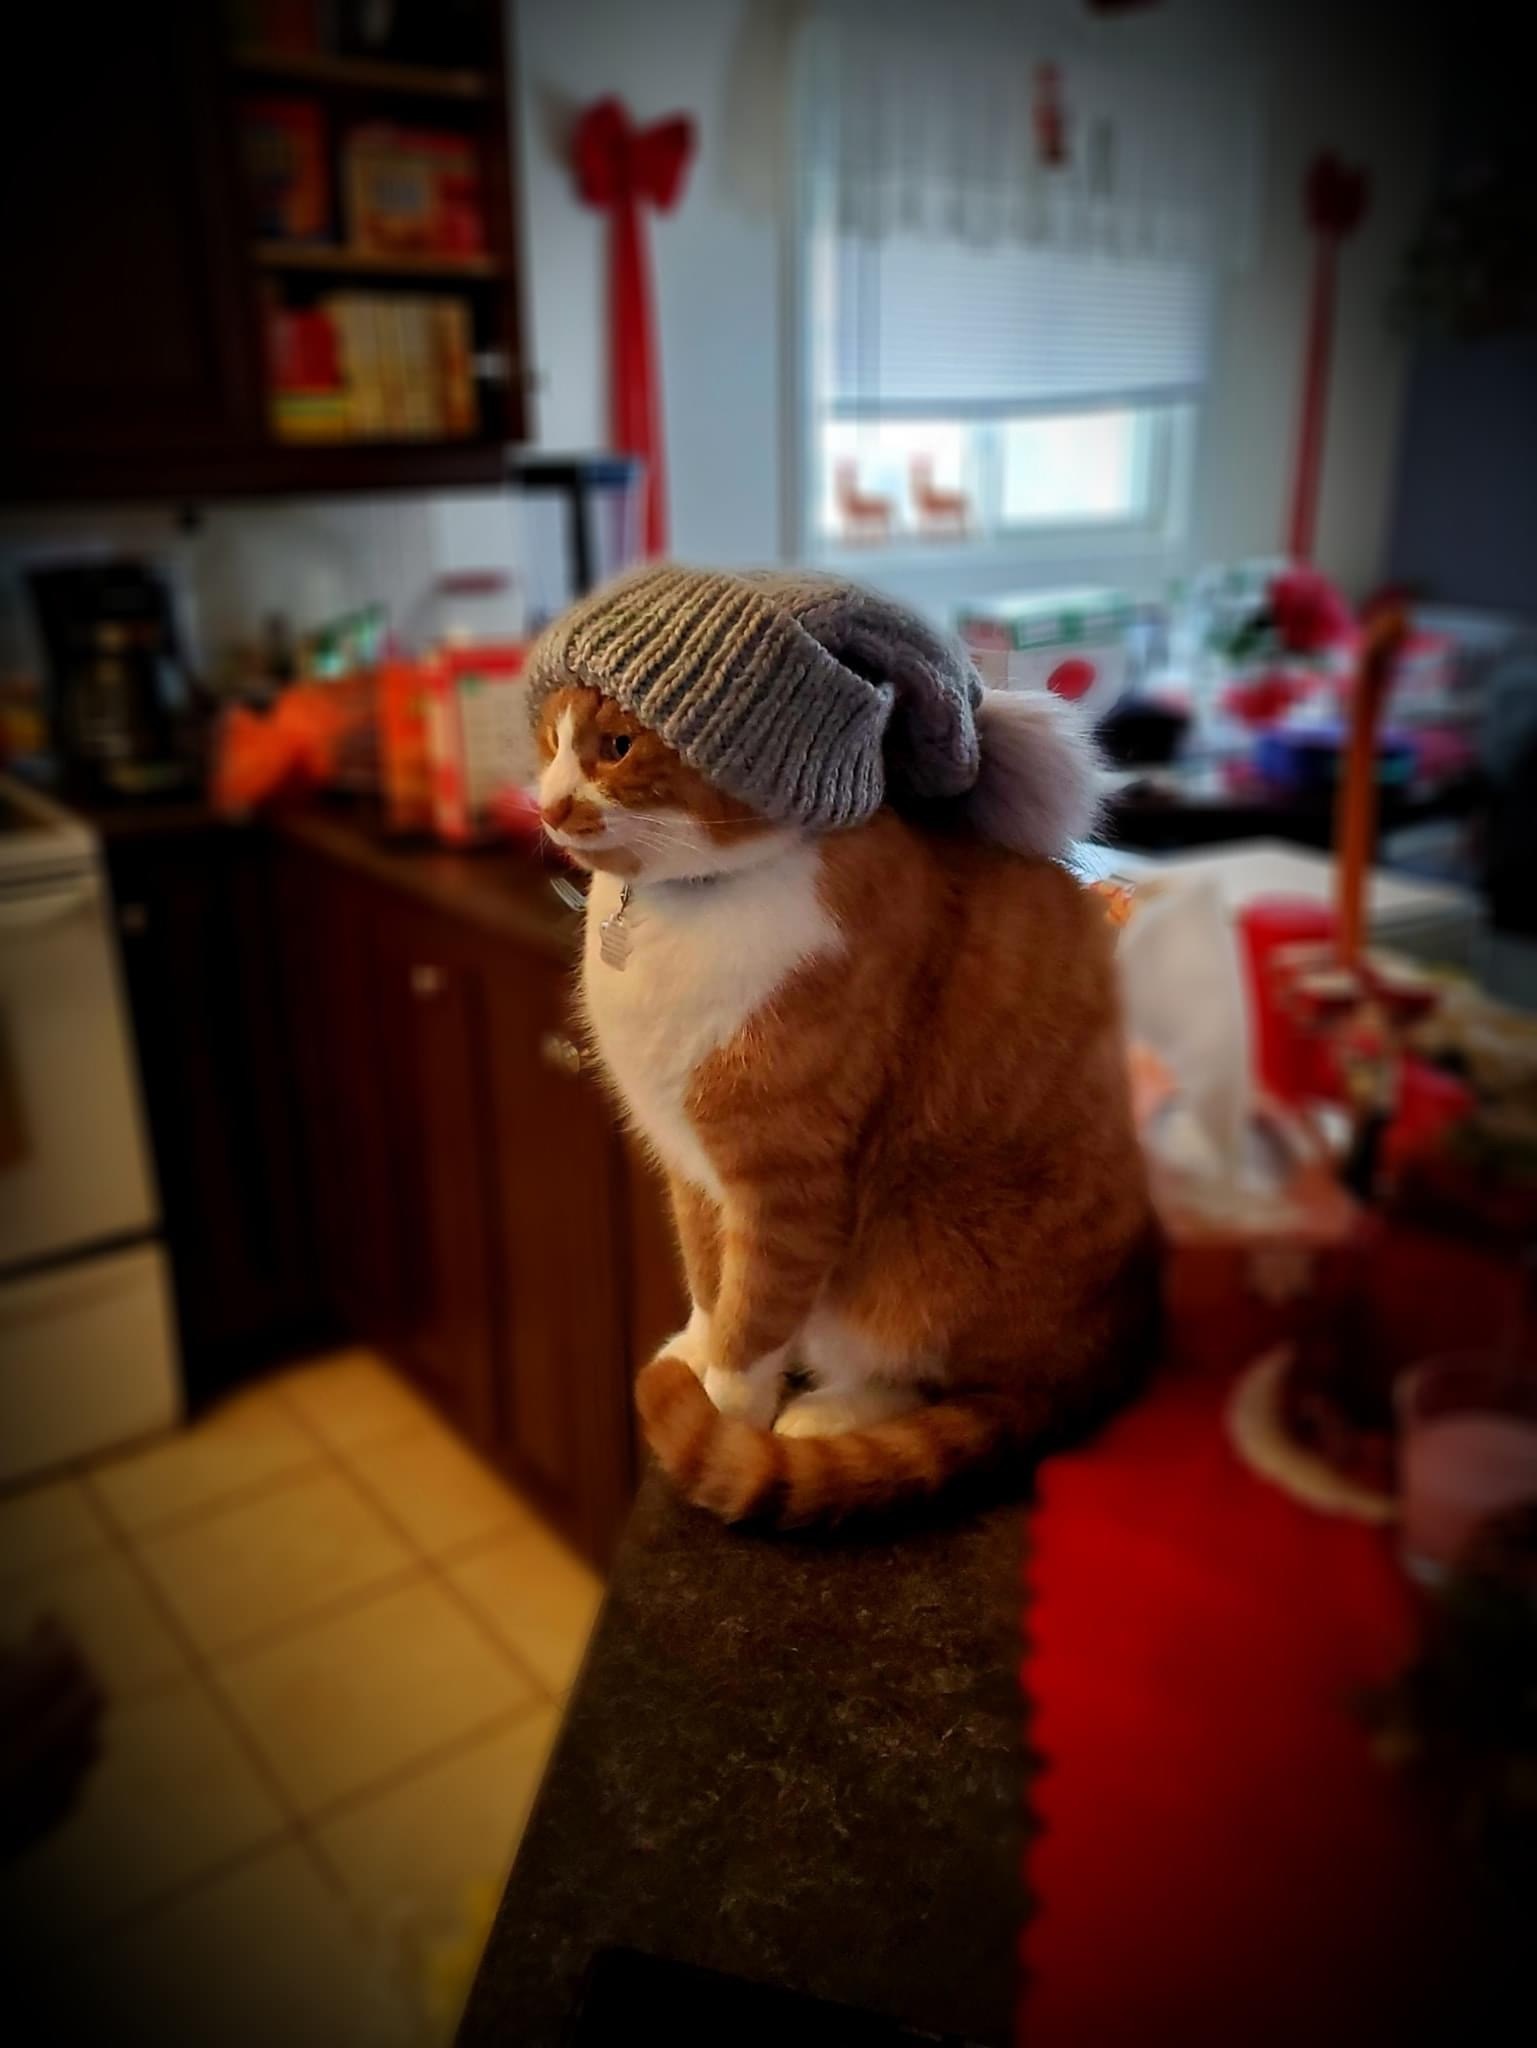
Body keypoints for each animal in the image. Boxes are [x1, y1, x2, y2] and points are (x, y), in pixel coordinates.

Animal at [536, 675, 1155, 1523]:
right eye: (548, 738)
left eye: (617, 747)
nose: (547, 805)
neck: (683, 913)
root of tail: (1111, 1348)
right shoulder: (691, 1167)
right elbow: (708, 1279)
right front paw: (694, 1348)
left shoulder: (785, 1183)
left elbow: (752, 1320)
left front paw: (721, 1412)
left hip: (925, 1255)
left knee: (931, 1383)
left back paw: (825, 1416)